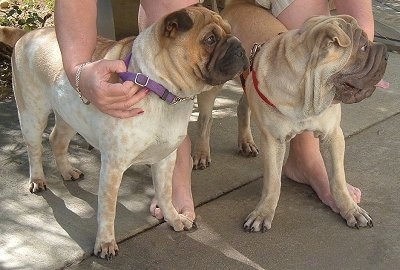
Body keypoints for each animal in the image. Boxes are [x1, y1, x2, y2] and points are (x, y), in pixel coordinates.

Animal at [11, 6, 247, 258]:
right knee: (34, 149)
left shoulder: (165, 159)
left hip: (68, 117)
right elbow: (107, 210)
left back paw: (67, 171)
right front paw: (105, 242)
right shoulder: (113, 167)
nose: (240, 46)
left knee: (57, 140)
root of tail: (27, 35)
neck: (161, 89)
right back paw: (37, 179)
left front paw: (173, 218)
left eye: (230, 31)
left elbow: (165, 193)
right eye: (210, 39)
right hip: (32, 115)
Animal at [244, 14, 388, 230]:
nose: (386, 52)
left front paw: (350, 209)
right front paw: (263, 212)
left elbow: (338, 179)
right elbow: (273, 182)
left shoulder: (333, 135)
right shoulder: (272, 141)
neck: (307, 93)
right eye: (363, 47)